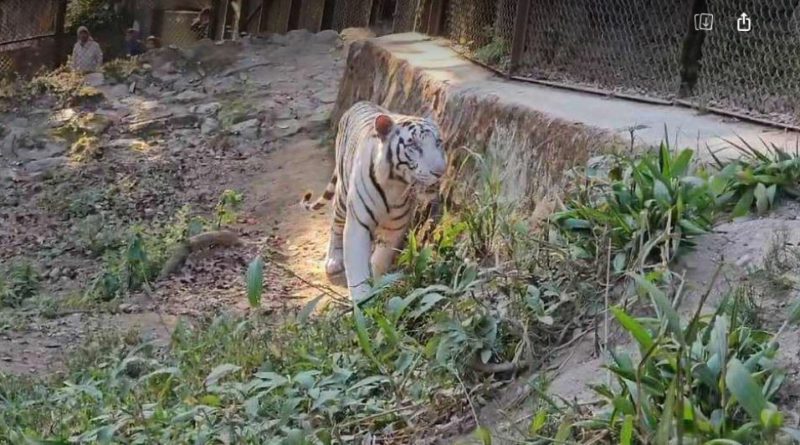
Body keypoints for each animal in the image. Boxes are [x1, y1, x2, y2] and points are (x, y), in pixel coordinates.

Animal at [304, 102, 446, 300]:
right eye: (414, 145)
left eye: (438, 143)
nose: (440, 171)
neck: (394, 185)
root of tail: (359, 103)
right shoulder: (358, 225)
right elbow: (356, 266)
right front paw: (361, 300)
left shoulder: (395, 228)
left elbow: (380, 259)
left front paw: (379, 285)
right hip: (342, 196)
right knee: (335, 225)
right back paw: (333, 260)